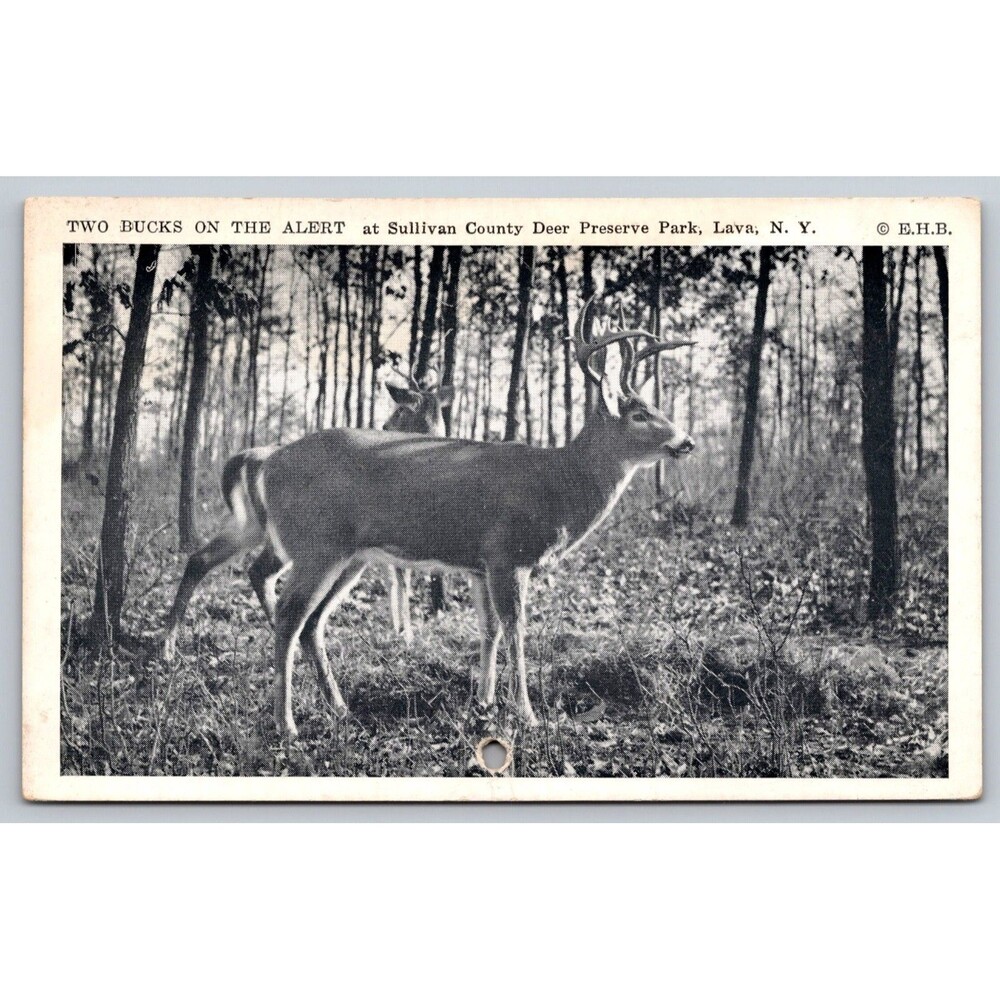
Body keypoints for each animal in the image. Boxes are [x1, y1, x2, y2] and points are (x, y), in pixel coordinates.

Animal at [159, 372, 453, 660]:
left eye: (400, 410)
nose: (384, 426)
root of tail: (242, 459)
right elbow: (401, 578)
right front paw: (406, 635)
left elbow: (398, 578)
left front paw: (402, 631)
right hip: (292, 535)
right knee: (258, 572)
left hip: (251, 525)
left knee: (205, 560)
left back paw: (169, 647)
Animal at [257, 298, 696, 739]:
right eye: (640, 415)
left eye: (656, 407)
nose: (687, 441)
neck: (557, 484)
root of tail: (267, 465)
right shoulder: (508, 554)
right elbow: (516, 629)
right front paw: (526, 712)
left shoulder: (480, 565)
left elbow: (490, 629)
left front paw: (484, 701)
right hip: (318, 544)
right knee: (289, 614)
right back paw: (285, 723)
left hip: (350, 556)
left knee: (312, 622)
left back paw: (339, 708)